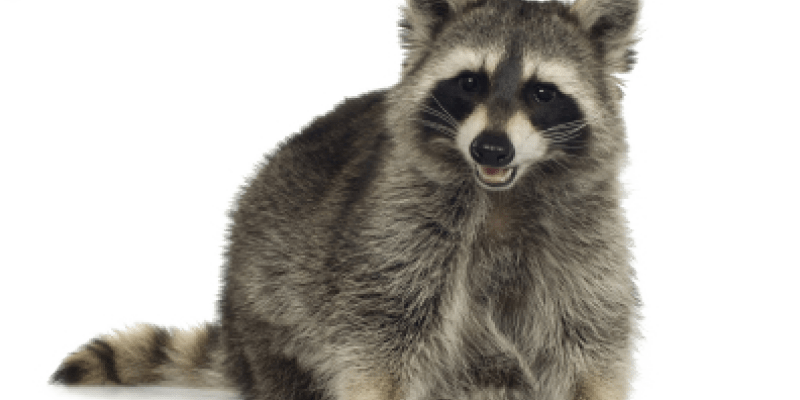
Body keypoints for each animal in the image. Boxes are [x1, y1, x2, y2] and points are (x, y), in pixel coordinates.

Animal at [48, 1, 646, 399]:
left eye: (542, 93)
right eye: (470, 83)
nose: (490, 146)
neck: (502, 193)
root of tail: (239, 342)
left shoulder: (582, 228)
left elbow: (590, 328)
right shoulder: (397, 222)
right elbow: (381, 332)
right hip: (267, 310)